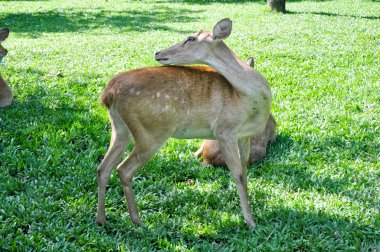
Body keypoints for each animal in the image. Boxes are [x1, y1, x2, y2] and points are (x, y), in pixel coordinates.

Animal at [96, 17, 272, 226]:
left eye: (190, 38)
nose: (158, 52)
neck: (250, 101)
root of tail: (108, 93)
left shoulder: (244, 136)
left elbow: (245, 172)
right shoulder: (224, 130)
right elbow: (238, 174)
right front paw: (250, 222)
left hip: (120, 129)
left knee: (103, 168)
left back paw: (101, 219)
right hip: (151, 132)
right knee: (123, 169)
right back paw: (137, 220)